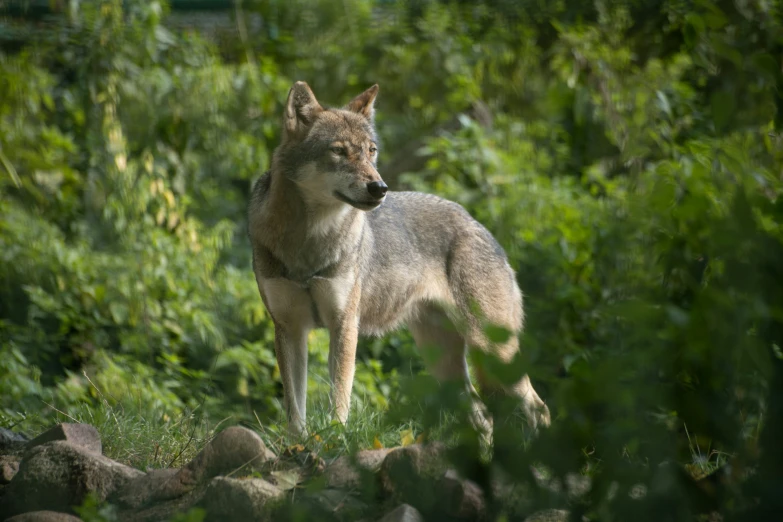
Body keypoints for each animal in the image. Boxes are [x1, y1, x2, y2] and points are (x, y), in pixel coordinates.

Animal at [248, 81, 548, 438]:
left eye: (371, 150)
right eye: (338, 151)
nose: (380, 187)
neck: (309, 239)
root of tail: (479, 224)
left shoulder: (344, 324)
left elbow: (339, 398)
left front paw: (335, 439)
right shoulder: (290, 329)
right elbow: (295, 410)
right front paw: (299, 445)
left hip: (492, 350)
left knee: (537, 407)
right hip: (444, 360)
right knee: (483, 416)